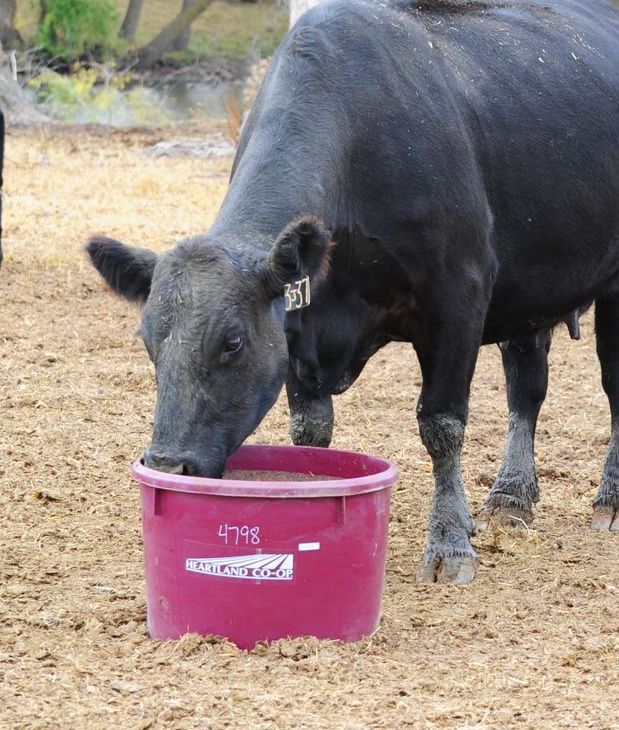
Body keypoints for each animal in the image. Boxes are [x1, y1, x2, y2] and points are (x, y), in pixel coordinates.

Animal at [87, 0, 619, 584]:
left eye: (232, 343)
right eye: (148, 343)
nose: (168, 464)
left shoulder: (460, 294)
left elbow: (441, 424)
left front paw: (449, 543)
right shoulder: (298, 325)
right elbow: (310, 429)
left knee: (612, 388)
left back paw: (609, 501)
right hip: (530, 289)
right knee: (527, 383)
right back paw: (511, 497)